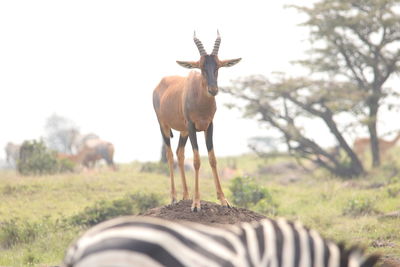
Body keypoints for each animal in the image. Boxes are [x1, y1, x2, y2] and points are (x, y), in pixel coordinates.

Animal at [153, 30, 241, 211]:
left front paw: (224, 200)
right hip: (164, 126)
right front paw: (196, 204)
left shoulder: (209, 126)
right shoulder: (192, 126)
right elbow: (197, 160)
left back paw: (186, 196)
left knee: (179, 153)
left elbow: (212, 159)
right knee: (169, 155)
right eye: (201, 67)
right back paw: (174, 197)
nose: (213, 90)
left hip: (183, 131)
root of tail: (159, 84)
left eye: (218, 66)